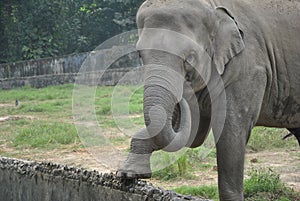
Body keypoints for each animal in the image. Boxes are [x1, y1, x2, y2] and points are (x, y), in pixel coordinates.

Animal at [116, 0, 300, 200]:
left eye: (189, 57)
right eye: (140, 55)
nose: (182, 96)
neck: (214, 7)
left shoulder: (249, 69)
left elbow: (231, 132)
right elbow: (193, 135)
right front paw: (128, 174)